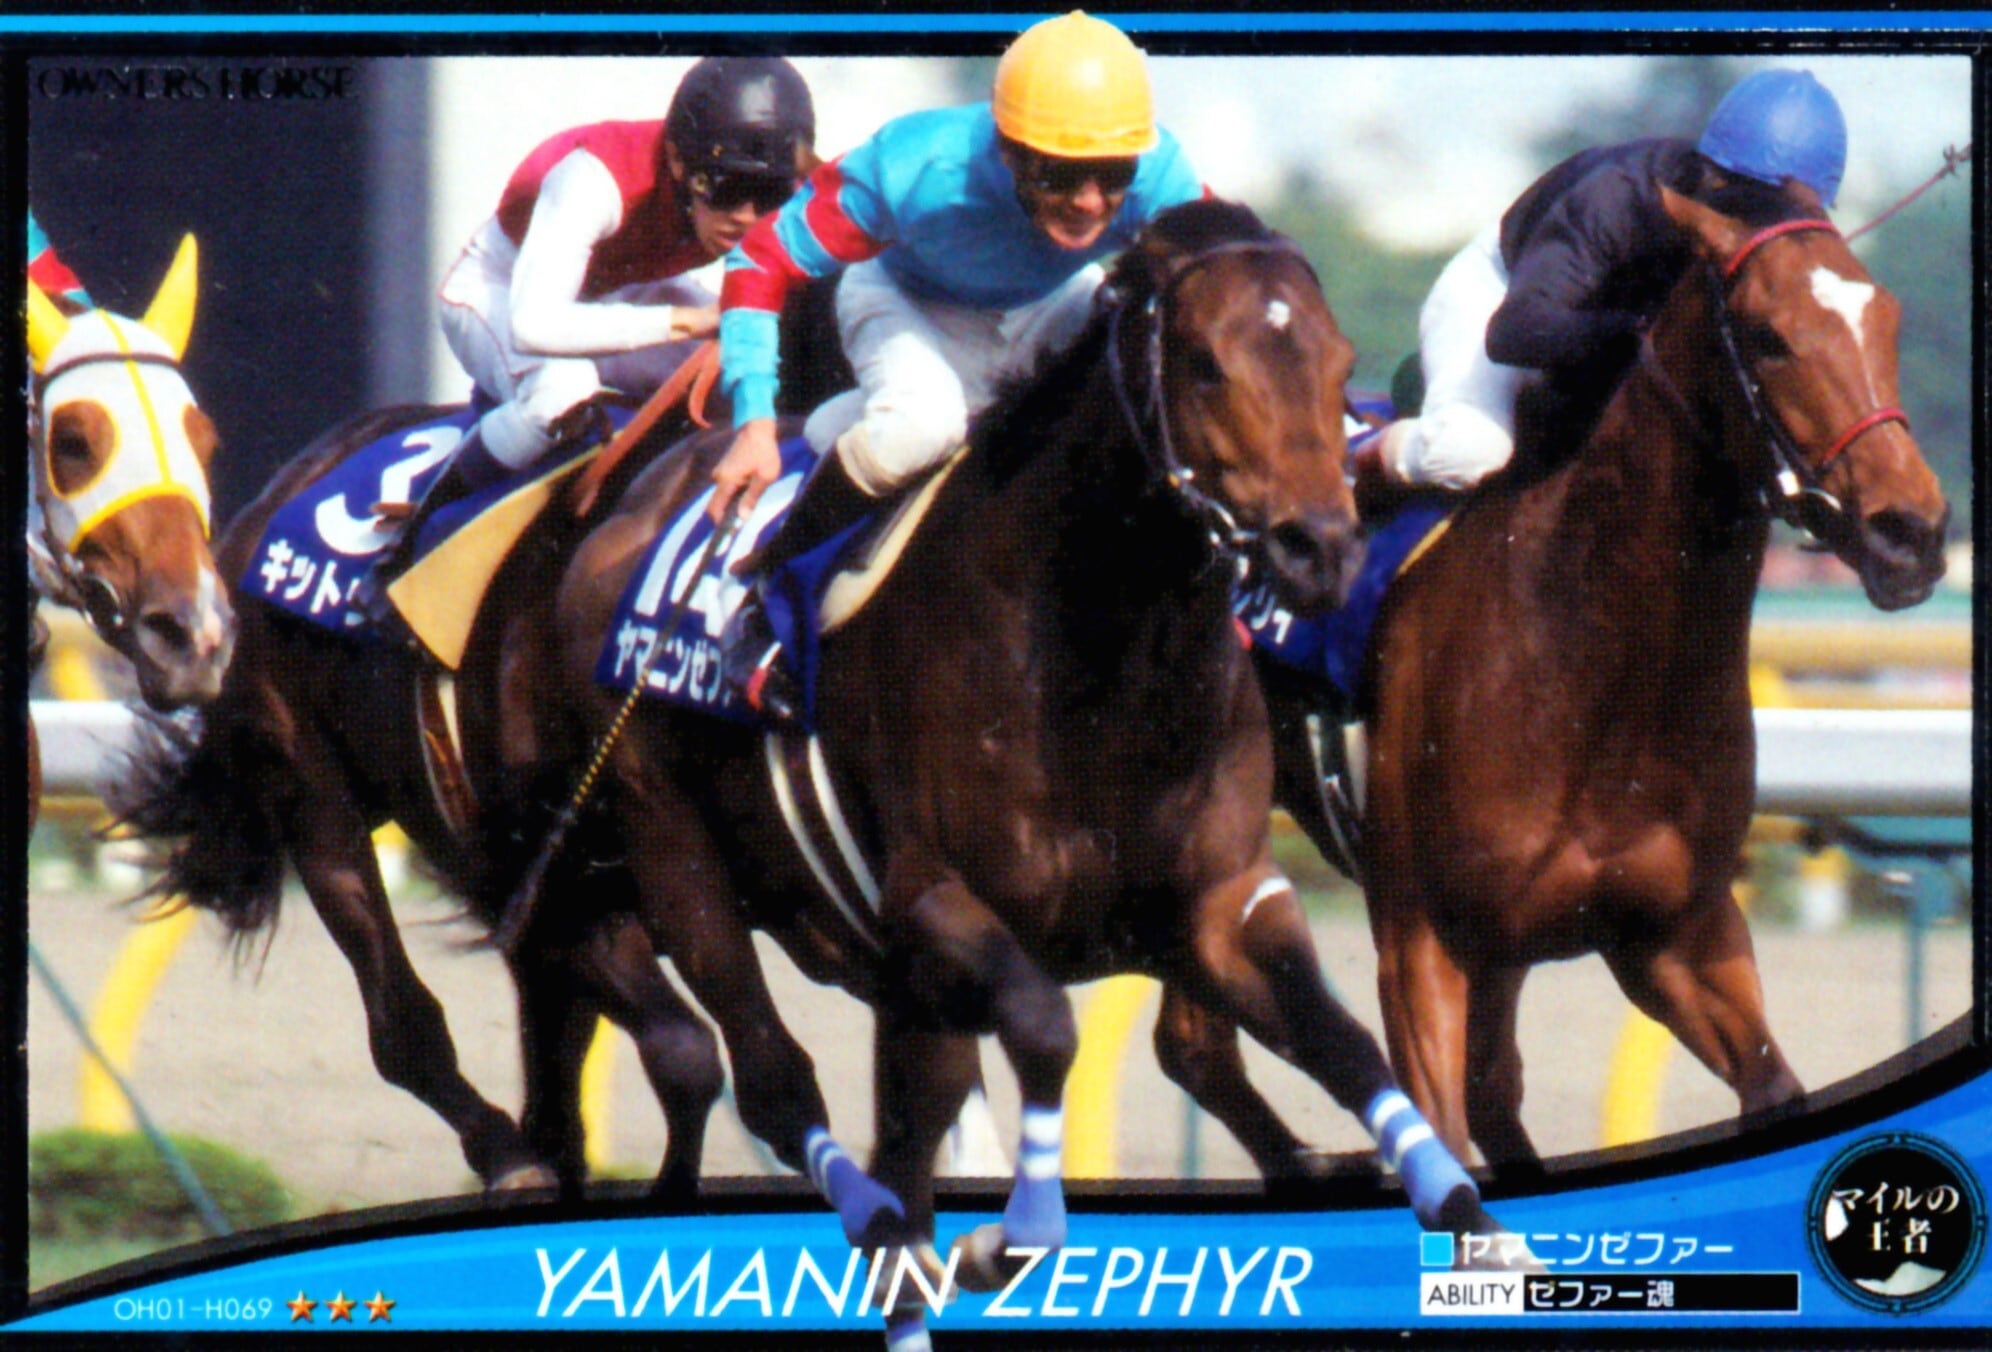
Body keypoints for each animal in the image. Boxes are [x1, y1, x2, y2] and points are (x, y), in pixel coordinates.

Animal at [508, 200, 1508, 1345]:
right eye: (1206, 364)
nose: (1321, 551)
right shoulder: (936, 897)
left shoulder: (1222, 899)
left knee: (907, 1127)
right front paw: (1004, 1238)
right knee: (773, 1080)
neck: (1097, 655)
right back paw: (884, 1231)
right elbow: (1043, 1027)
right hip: (677, 851)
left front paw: (1474, 1218)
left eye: (1339, 362)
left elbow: (1345, 1045)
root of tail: (626, 511)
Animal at [1266, 182, 1950, 1172]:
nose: (1914, 531)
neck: (1588, 670)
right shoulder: (1420, 939)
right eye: (1769, 336)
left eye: (1887, 319)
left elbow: (1771, 1087)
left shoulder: (1674, 933)